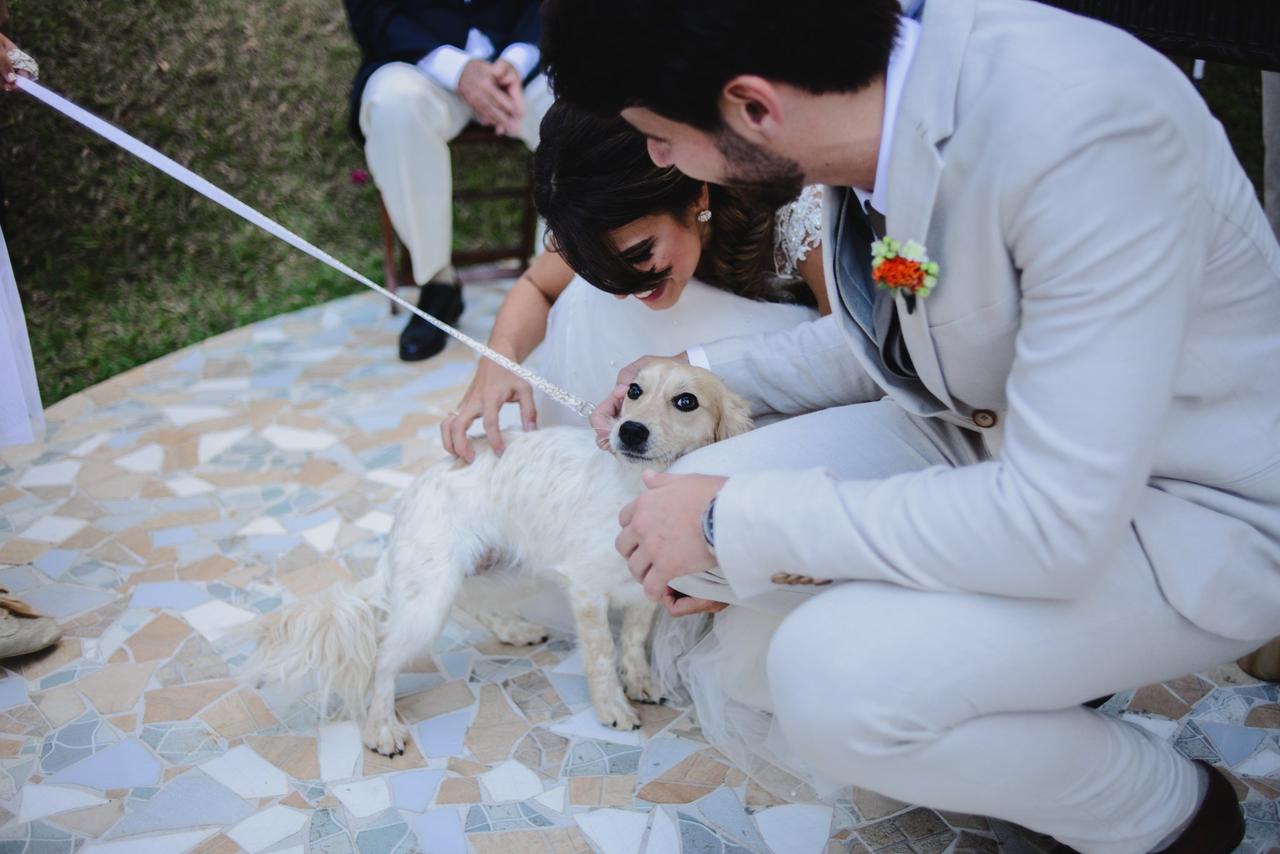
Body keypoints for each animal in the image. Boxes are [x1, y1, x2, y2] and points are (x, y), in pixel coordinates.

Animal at [245, 361, 752, 752]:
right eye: (633, 391)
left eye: (685, 401)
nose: (628, 430)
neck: (635, 489)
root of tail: (415, 492)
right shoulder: (586, 590)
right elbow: (602, 655)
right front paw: (611, 706)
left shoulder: (643, 588)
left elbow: (631, 641)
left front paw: (641, 681)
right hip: (430, 599)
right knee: (383, 661)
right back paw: (381, 728)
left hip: (494, 568)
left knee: (471, 601)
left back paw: (513, 628)